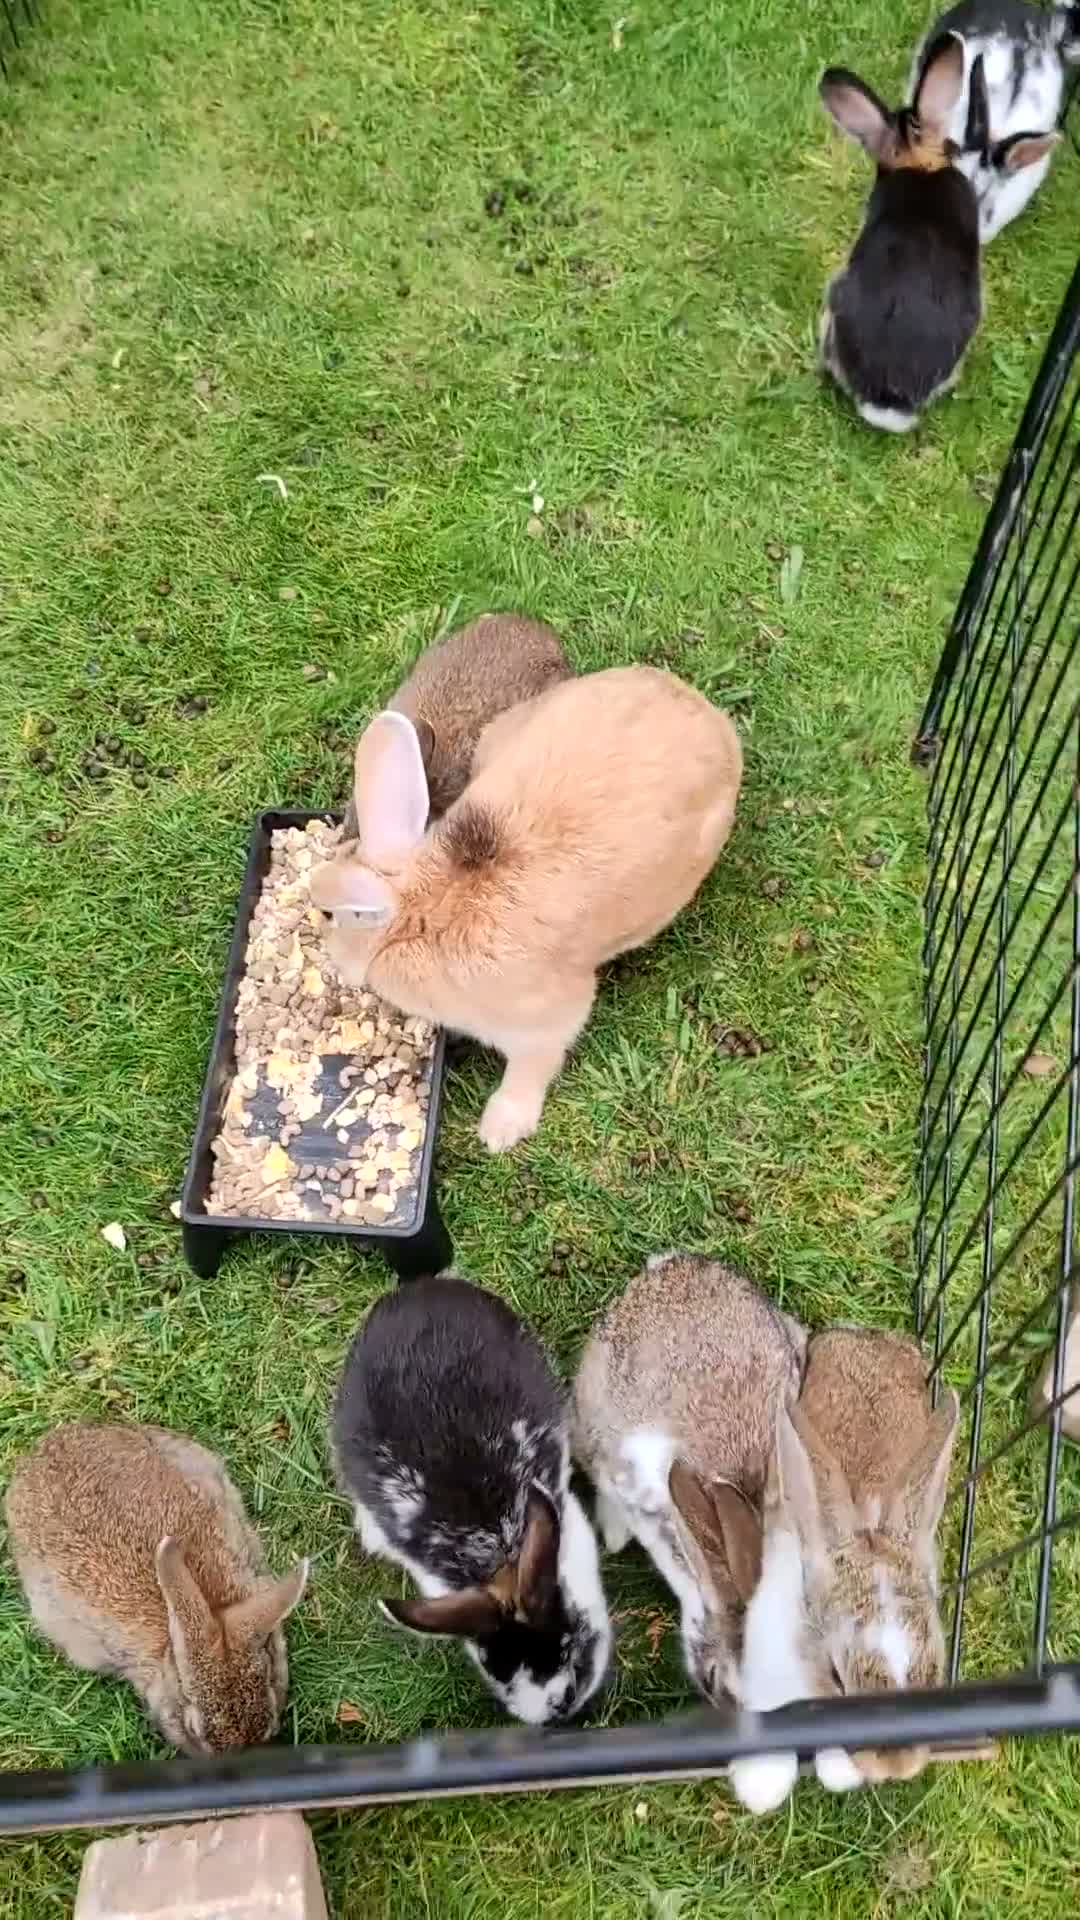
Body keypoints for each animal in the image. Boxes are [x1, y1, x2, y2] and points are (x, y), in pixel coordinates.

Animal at [311, 665, 742, 1152]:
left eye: (330, 915)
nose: (330, 961)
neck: (423, 911)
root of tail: (707, 714)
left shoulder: (545, 1023)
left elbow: (530, 1071)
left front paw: (499, 1132)